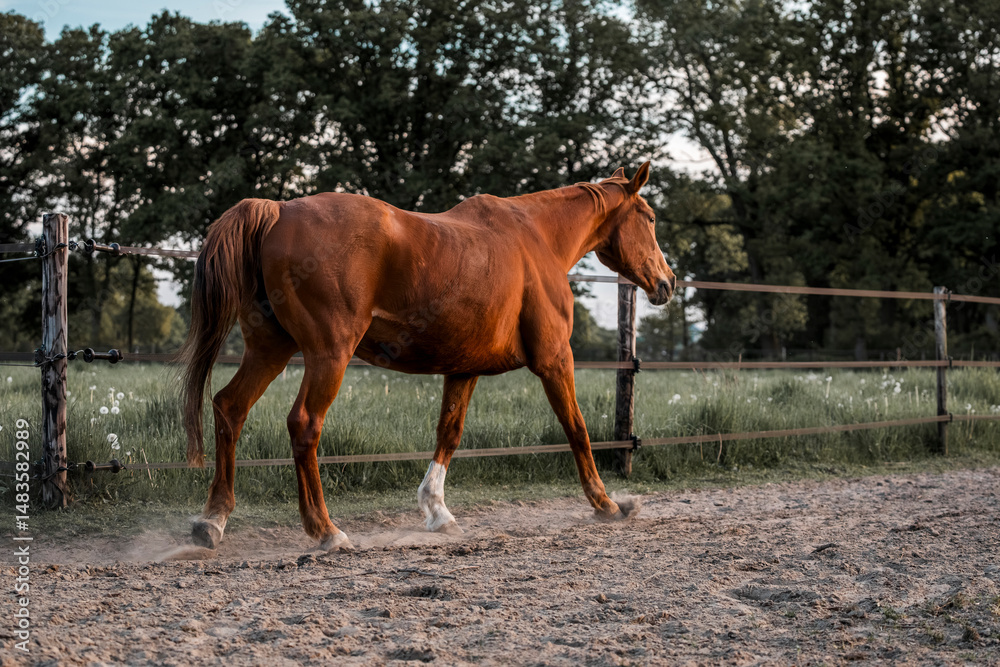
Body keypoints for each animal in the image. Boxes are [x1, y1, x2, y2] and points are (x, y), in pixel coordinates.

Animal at [180, 162, 676, 550]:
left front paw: (438, 512)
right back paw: (325, 530)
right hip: (328, 355)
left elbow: (448, 434)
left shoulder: (463, 369)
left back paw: (211, 521)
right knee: (304, 424)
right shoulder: (555, 360)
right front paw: (608, 503)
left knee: (229, 407)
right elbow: (577, 430)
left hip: (270, 349)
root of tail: (279, 210)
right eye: (650, 218)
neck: (536, 239)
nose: (667, 282)